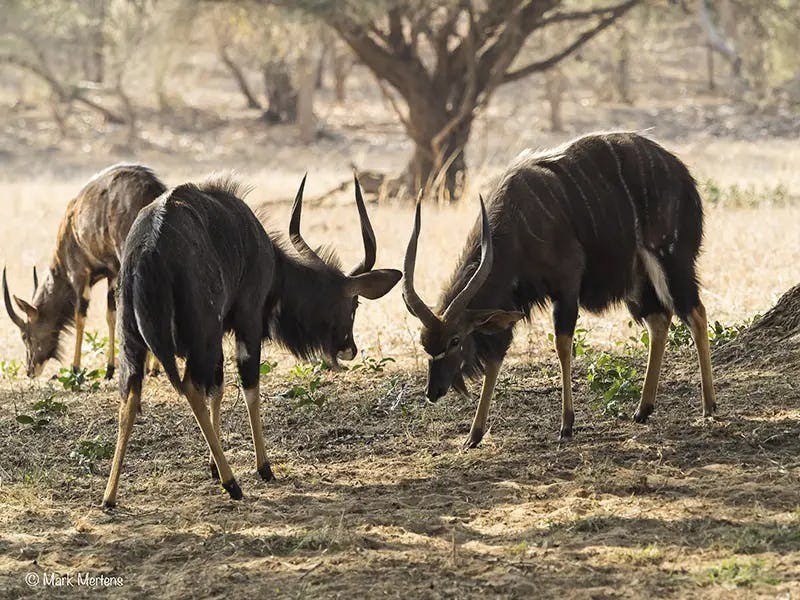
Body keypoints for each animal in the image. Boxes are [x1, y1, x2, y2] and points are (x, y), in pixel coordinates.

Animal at [2, 163, 166, 380]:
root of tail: (153, 189)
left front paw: (77, 368)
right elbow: (110, 315)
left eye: (24, 335)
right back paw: (153, 368)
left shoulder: (80, 276)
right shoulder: (112, 274)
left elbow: (81, 318)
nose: (30, 370)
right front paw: (110, 369)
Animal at [104, 173, 404, 506]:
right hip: (202, 338)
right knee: (190, 387)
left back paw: (109, 497)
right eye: (354, 304)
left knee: (130, 396)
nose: (349, 348)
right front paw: (263, 467)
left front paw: (213, 466)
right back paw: (232, 483)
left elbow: (218, 390)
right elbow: (250, 387)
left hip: (135, 344)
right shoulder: (247, 321)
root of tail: (147, 253)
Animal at [404, 134, 716, 448]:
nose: (433, 391)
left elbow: (562, 345)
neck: (518, 225)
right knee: (659, 320)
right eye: (424, 343)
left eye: (455, 340)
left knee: (696, 314)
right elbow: (496, 357)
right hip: (638, 280)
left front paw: (566, 424)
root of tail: (684, 176)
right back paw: (643, 409)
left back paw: (708, 406)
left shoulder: (566, 285)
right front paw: (473, 435)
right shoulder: (510, 306)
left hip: (671, 260)